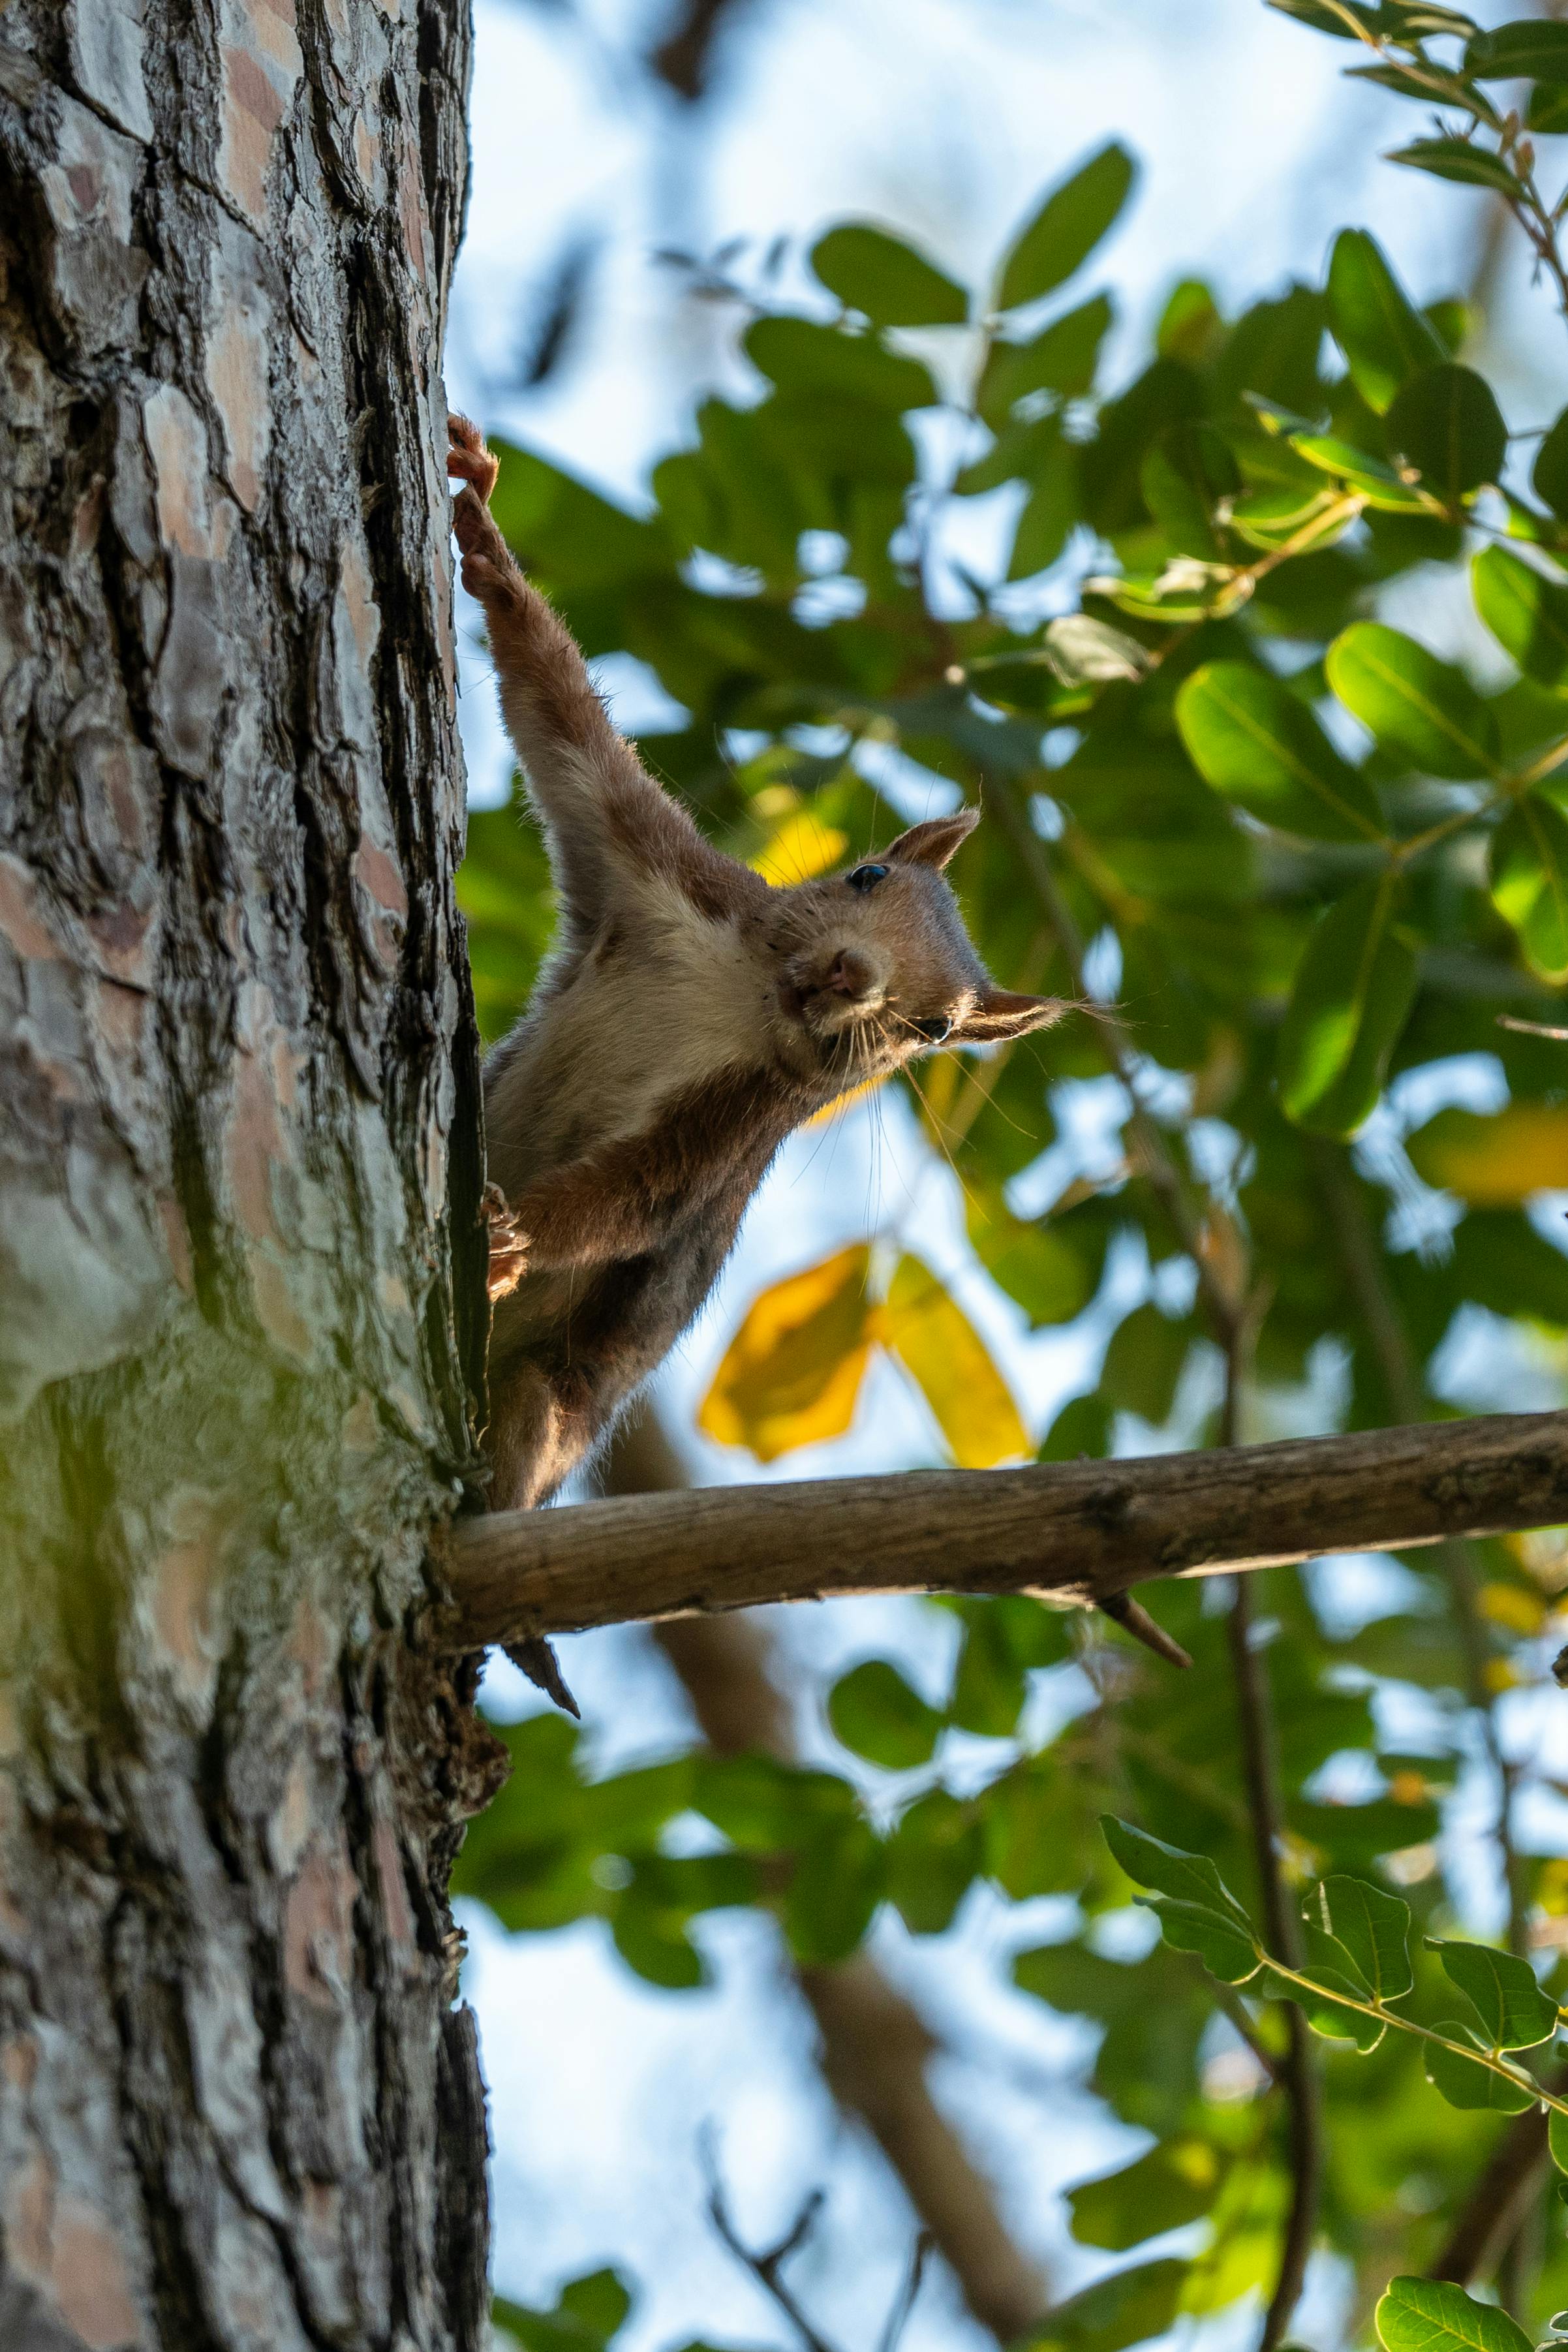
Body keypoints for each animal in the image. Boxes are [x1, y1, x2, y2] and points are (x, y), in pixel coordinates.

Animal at [446, 418, 1071, 1712]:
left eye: (932, 1031)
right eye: (868, 875)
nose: (851, 978)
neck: (747, 995)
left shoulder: (736, 1124)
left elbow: (638, 1197)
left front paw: (517, 1237)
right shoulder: (649, 871)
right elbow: (558, 719)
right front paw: (482, 531)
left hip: (554, 1397)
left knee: (525, 1456)